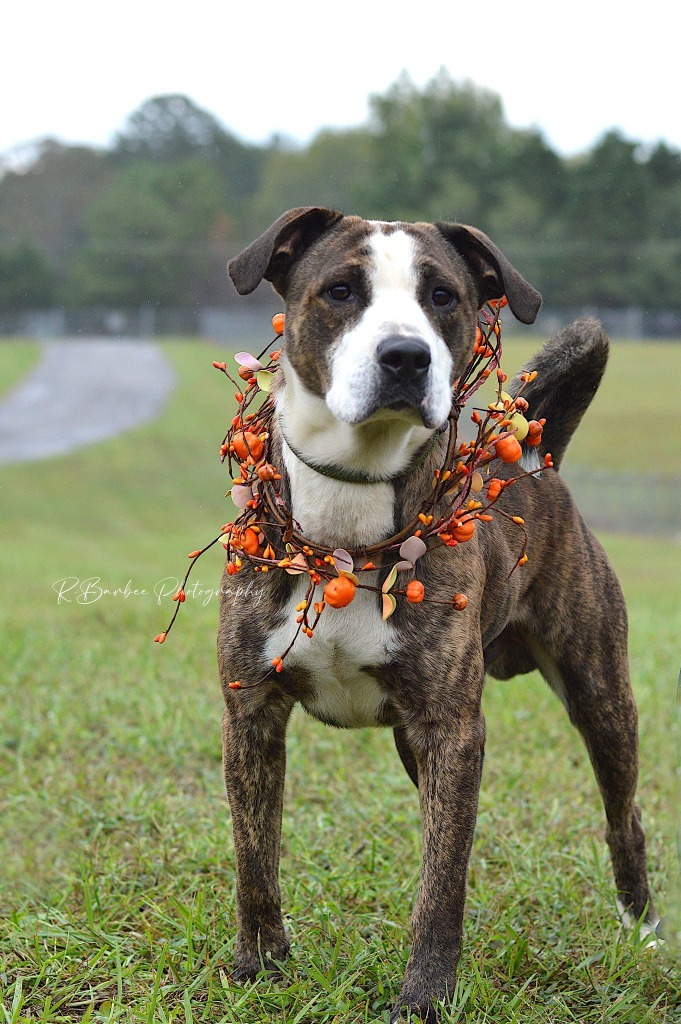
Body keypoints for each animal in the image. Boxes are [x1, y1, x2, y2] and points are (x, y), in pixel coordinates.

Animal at [216, 207, 655, 1024]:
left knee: (624, 815)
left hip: (599, 692)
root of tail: (532, 456)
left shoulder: (453, 731)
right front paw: (259, 969)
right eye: (340, 290)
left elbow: (440, 882)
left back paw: (641, 930)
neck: (350, 516)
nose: (405, 356)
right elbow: (254, 860)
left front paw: (424, 996)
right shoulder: (250, 713)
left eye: (443, 297)